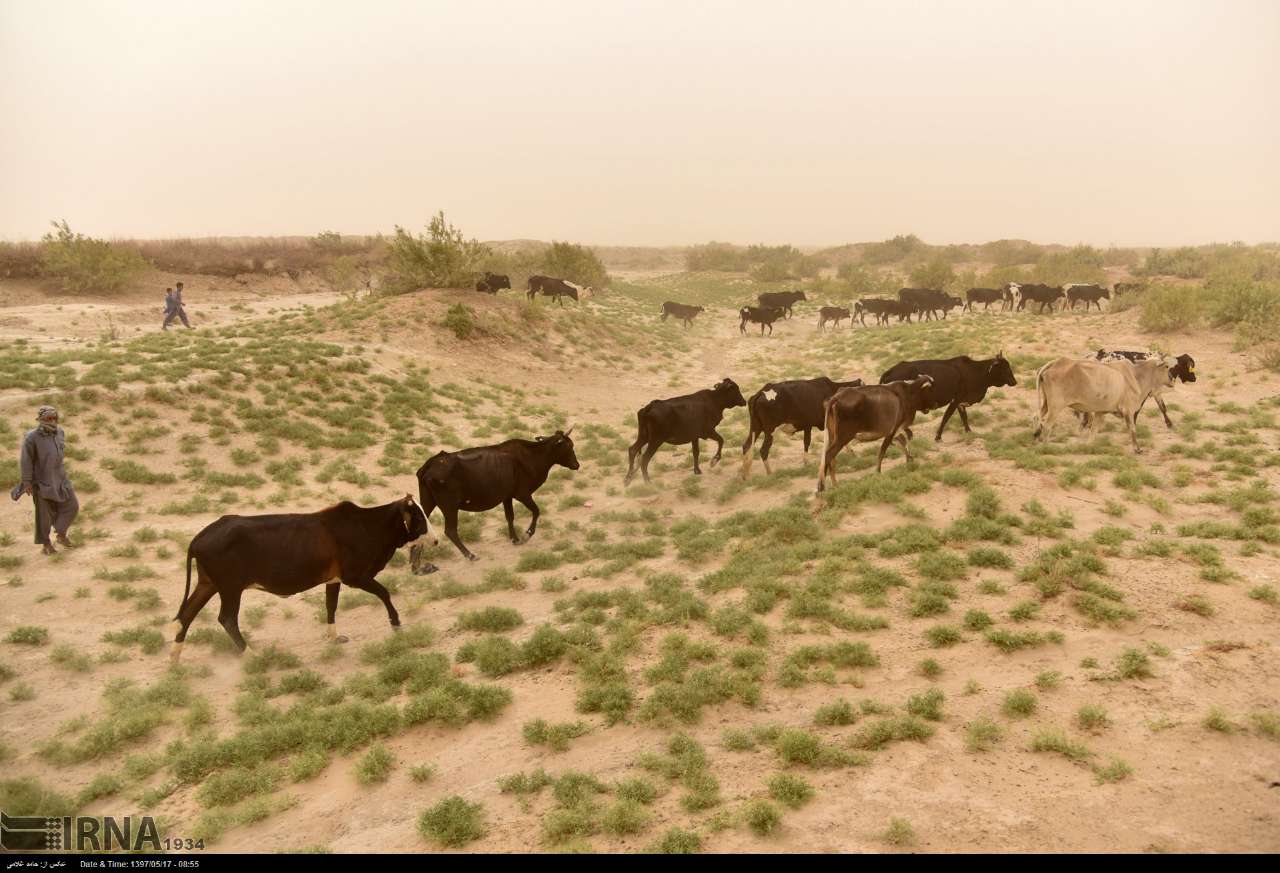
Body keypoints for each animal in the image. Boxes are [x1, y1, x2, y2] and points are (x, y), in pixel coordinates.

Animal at [170, 494, 432, 655]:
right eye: (419, 517)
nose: (436, 539)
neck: (367, 525)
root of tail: (200, 537)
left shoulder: (334, 580)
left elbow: (330, 606)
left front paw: (334, 638)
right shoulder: (355, 577)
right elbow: (384, 593)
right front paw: (396, 623)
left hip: (208, 584)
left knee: (186, 615)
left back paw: (175, 659)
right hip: (230, 588)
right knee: (226, 618)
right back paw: (249, 654)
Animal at [417, 427, 583, 558]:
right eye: (569, 446)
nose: (577, 465)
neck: (533, 455)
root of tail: (430, 464)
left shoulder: (507, 496)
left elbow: (510, 516)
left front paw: (514, 538)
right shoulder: (523, 494)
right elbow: (536, 511)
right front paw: (526, 535)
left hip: (427, 502)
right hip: (449, 506)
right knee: (450, 531)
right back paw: (469, 554)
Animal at [737, 371, 865, 476]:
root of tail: (761, 392)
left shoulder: (808, 425)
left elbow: (807, 442)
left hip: (755, 428)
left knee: (746, 446)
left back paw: (744, 474)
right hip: (770, 431)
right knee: (763, 450)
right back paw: (769, 473)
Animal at [880, 350, 1018, 437]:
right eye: (1004, 368)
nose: (1014, 381)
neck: (974, 372)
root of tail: (889, 371)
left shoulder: (960, 402)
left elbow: (964, 417)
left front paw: (968, 431)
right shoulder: (955, 400)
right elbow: (946, 417)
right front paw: (938, 436)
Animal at [1034, 355, 1172, 453]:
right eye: (1166, 367)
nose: (1172, 379)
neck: (1137, 376)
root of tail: (1055, 363)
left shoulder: (1100, 412)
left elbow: (1093, 431)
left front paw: (1088, 446)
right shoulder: (1128, 411)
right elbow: (1132, 429)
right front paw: (1137, 449)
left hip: (1046, 403)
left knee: (1037, 417)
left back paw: (1036, 436)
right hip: (1055, 407)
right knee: (1047, 426)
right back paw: (1045, 446)